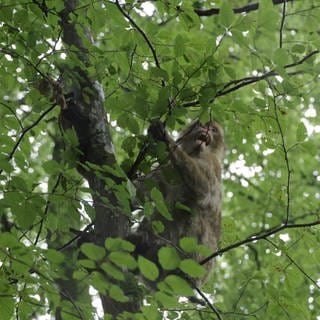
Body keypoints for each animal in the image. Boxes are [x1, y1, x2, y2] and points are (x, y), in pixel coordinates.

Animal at [132, 120, 225, 284]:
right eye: (201, 124)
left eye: (213, 130)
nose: (206, 129)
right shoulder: (167, 168)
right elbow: (141, 190)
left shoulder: (211, 161)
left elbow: (203, 189)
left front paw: (165, 138)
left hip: (196, 260)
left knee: (188, 205)